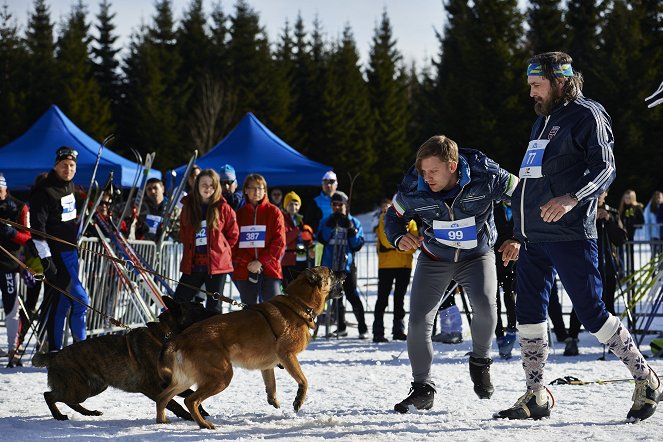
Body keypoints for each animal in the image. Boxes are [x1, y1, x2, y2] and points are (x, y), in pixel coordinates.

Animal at [32, 296, 214, 422]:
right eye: (199, 308)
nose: (217, 313)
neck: (164, 336)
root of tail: (55, 354)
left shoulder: (169, 382)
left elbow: (190, 394)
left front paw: (200, 410)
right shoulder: (150, 387)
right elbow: (173, 403)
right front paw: (189, 416)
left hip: (94, 387)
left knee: (68, 400)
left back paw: (88, 413)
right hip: (79, 389)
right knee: (49, 395)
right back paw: (58, 415)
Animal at [155, 266, 342, 428]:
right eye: (332, 273)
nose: (345, 274)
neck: (298, 303)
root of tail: (181, 338)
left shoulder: (268, 366)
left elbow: (271, 383)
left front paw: (273, 399)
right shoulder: (287, 355)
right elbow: (304, 380)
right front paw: (298, 400)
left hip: (186, 380)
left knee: (162, 397)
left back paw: (161, 421)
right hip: (221, 377)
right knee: (190, 400)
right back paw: (204, 424)